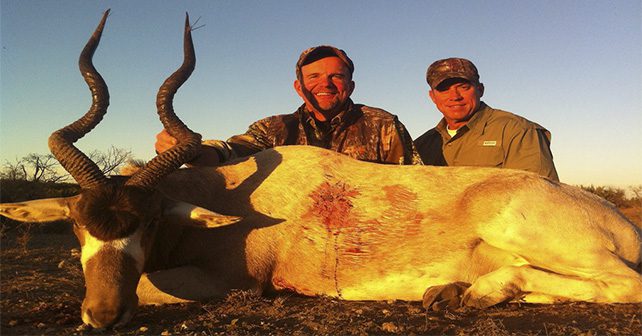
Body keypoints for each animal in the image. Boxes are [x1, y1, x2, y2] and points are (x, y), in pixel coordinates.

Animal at [1, 9, 640, 328]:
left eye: (151, 222)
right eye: (78, 223)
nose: (102, 315)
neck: (227, 193)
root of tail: (620, 221)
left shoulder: (230, 283)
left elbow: (156, 287)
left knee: (625, 283)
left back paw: (476, 291)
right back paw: (456, 292)